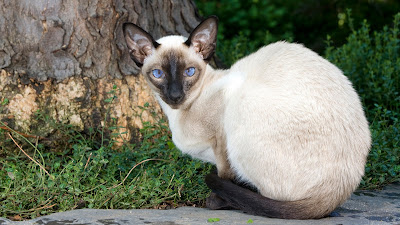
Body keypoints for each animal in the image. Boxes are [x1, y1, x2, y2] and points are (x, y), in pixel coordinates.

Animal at [122, 16, 372, 220]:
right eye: (158, 74)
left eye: (189, 72)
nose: (175, 95)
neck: (181, 112)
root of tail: (339, 191)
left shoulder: (222, 134)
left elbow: (225, 173)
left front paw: (217, 200)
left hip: (241, 102)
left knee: (274, 199)